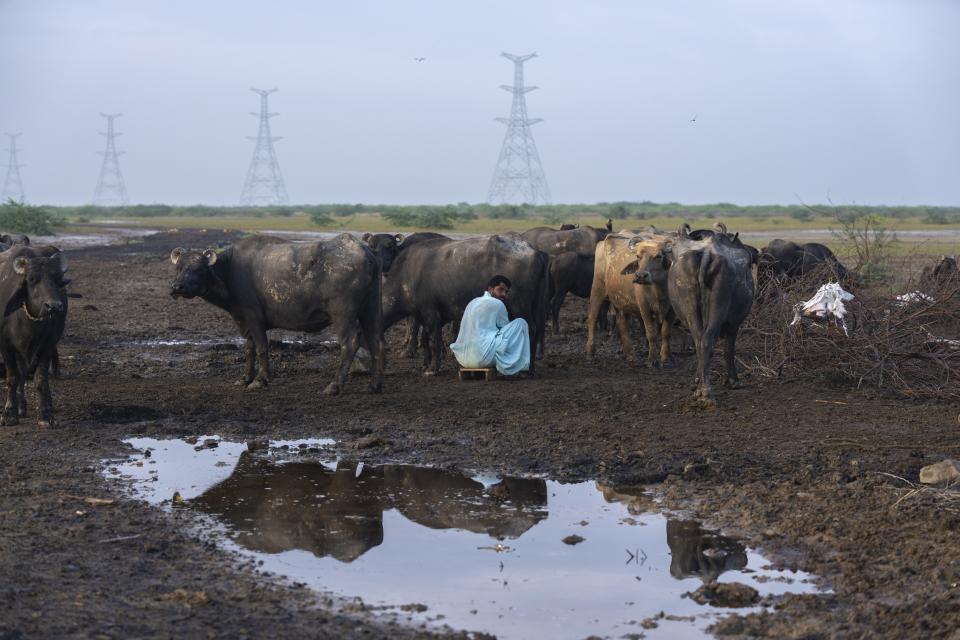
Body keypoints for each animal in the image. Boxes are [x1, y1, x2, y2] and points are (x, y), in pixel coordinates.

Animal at [0, 245, 68, 424]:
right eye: (31, 279)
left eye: (57, 279)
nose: (54, 306)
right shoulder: (5, 345)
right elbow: (12, 377)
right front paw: (9, 413)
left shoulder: (48, 344)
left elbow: (40, 379)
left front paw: (45, 414)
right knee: (20, 374)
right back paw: (20, 407)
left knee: (27, 374)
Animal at [169, 235, 382, 396]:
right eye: (178, 268)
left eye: (198, 268)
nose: (176, 287)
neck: (229, 271)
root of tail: (366, 252)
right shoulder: (245, 321)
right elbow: (249, 349)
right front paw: (245, 378)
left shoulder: (254, 317)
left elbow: (261, 348)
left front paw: (260, 380)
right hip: (371, 310)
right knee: (376, 341)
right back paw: (375, 385)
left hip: (342, 315)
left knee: (350, 343)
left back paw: (334, 386)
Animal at [380, 235, 548, 376]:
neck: (407, 277)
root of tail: (535, 252)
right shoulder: (430, 315)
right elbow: (425, 339)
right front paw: (426, 364)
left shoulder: (430, 313)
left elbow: (434, 341)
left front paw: (432, 368)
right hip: (535, 304)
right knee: (537, 329)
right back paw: (531, 367)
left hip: (519, 305)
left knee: (530, 329)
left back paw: (525, 369)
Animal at [668, 230, 756, 404]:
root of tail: (707, 254)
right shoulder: (734, 324)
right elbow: (729, 349)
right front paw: (733, 381)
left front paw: (696, 382)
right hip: (719, 309)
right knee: (708, 341)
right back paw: (706, 392)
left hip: (690, 308)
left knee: (699, 342)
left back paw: (700, 389)